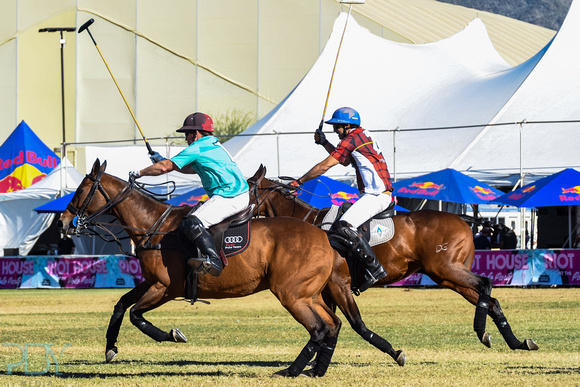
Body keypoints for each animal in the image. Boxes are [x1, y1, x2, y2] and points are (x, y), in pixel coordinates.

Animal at [57, 160, 404, 378]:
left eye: (80, 191)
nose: (62, 223)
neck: (153, 226)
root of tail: (325, 235)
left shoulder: (166, 287)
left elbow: (136, 315)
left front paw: (173, 335)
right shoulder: (152, 282)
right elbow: (120, 306)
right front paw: (110, 348)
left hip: (291, 293)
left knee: (321, 327)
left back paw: (292, 371)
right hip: (310, 292)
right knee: (333, 325)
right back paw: (317, 370)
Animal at [248, 165, 540, 354]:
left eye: (246, 188)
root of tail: (463, 219)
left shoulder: (337, 284)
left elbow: (349, 323)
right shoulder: (325, 291)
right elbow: (330, 324)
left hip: (447, 268)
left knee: (485, 284)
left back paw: (483, 332)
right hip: (446, 276)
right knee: (490, 299)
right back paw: (517, 342)